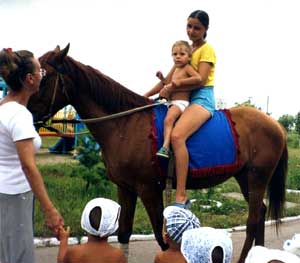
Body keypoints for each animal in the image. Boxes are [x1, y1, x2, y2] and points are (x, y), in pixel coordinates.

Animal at [28, 44, 288, 262]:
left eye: (44, 76)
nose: (27, 114)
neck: (125, 124)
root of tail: (276, 125)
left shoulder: (149, 189)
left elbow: (161, 237)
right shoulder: (126, 188)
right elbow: (124, 233)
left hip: (256, 177)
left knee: (253, 219)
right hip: (245, 177)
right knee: (260, 213)